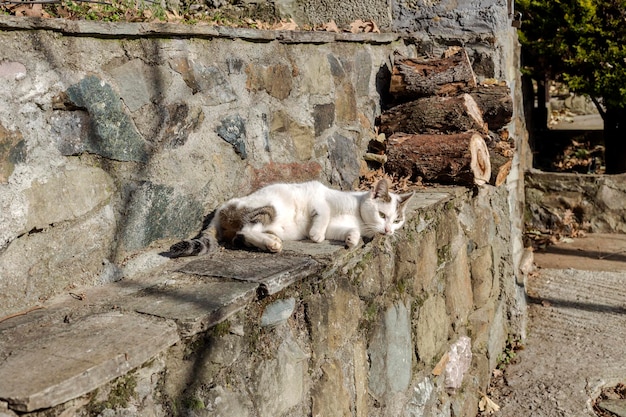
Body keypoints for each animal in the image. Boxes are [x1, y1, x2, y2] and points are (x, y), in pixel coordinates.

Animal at [166, 178, 412, 255]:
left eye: (397, 220)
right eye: (382, 214)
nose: (388, 230)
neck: (359, 216)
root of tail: (219, 211)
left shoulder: (337, 227)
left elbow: (345, 230)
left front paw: (352, 239)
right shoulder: (320, 197)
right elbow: (323, 213)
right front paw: (316, 234)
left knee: (239, 237)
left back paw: (268, 242)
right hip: (269, 208)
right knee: (247, 230)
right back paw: (272, 243)